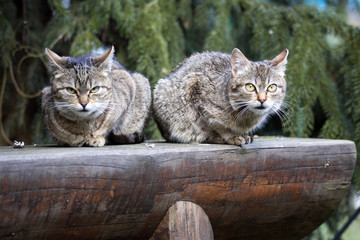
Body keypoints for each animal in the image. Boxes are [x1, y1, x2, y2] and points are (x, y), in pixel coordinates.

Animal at [153, 47, 288, 145]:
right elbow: (217, 125)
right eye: (250, 86)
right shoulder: (195, 89)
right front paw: (230, 135)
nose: (262, 99)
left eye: (272, 87)